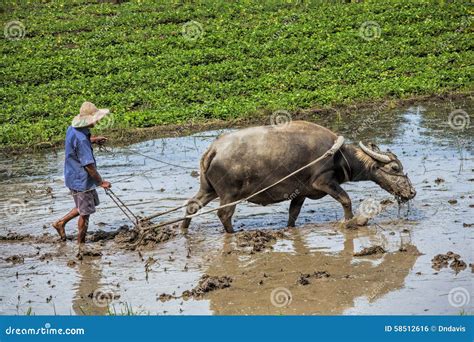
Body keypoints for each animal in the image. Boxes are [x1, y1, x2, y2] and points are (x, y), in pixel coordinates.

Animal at [181, 120, 414, 232]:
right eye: (395, 168)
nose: (411, 192)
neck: (338, 155)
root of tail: (213, 149)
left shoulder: (300, 193)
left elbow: (293, 214)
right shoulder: (324, 181)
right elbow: (346, 199)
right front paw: (350, 222)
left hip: (208, 189)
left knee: (192, 205)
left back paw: (184, 229)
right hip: (230, 194)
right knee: (224, 214)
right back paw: (233, 233)